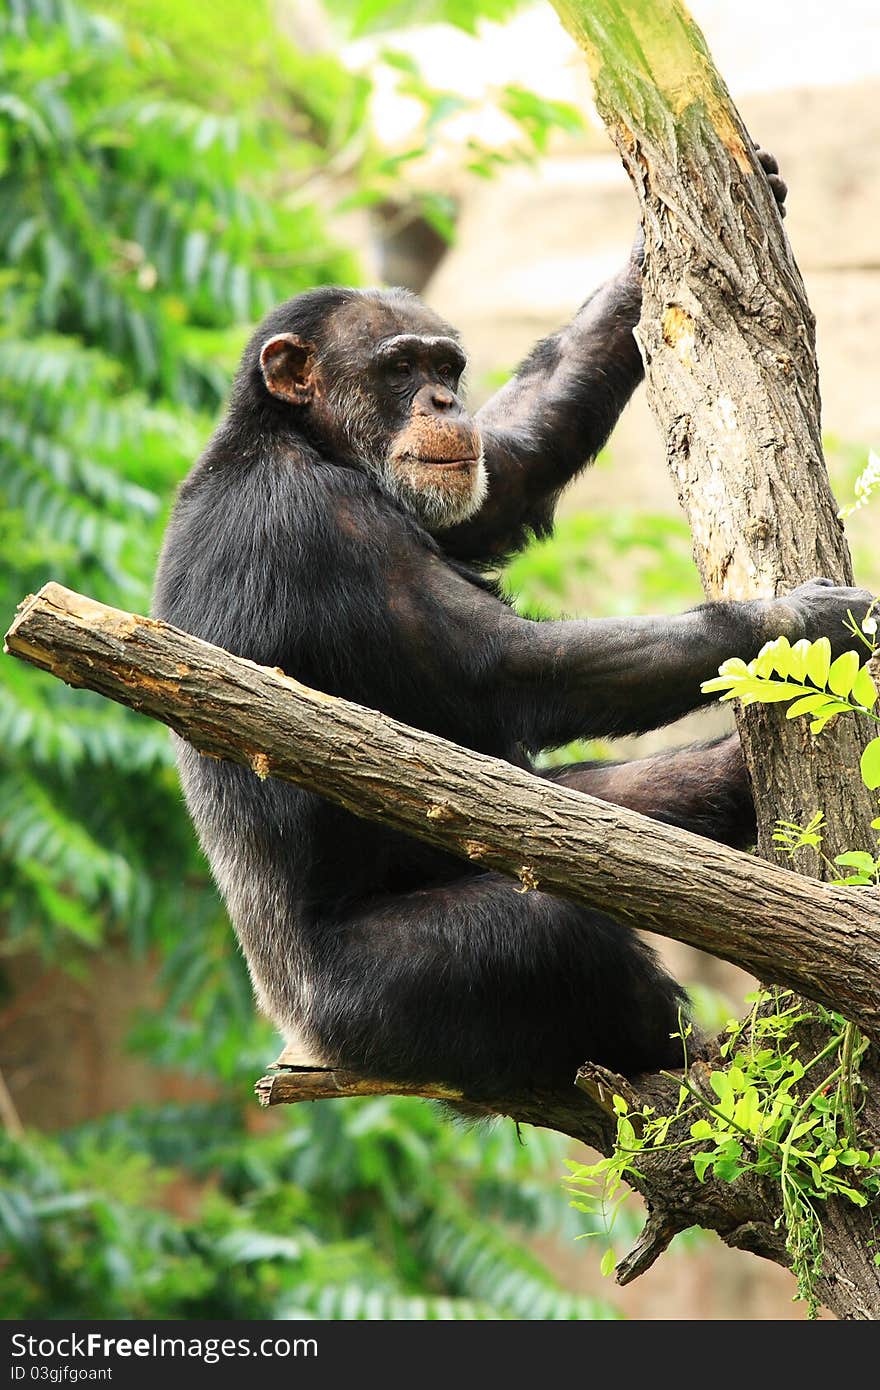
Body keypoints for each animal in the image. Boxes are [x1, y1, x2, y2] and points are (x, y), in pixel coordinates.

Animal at [152, 159, 873, 1095]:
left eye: (445, 363)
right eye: (398, 366)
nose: (442, 398)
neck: (302, 440)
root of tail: (301, 1037)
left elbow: (507, 470)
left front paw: (642, 263)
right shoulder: (316, 524)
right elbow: (504, 669)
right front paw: (803, 622)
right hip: (376, 1006)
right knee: (548, 924)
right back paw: (689, 1079)